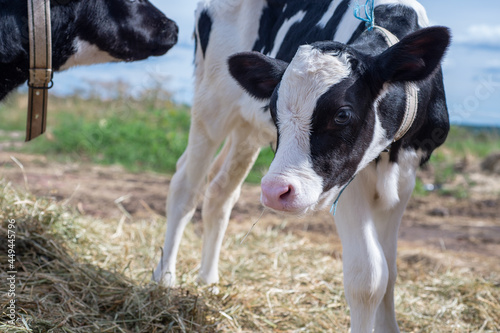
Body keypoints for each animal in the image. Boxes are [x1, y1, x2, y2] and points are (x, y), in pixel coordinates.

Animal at [154, 1, 452, 330]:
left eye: (342, 114)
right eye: (274, 111)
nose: (275, 191)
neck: (390, 155)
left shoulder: (406, 174)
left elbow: (390, 271)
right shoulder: (345, 180)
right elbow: (369, 278)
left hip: (246, 129)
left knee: (220, 191)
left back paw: (209, 282)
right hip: (212, 106)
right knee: (185, 187)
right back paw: (165, 278)